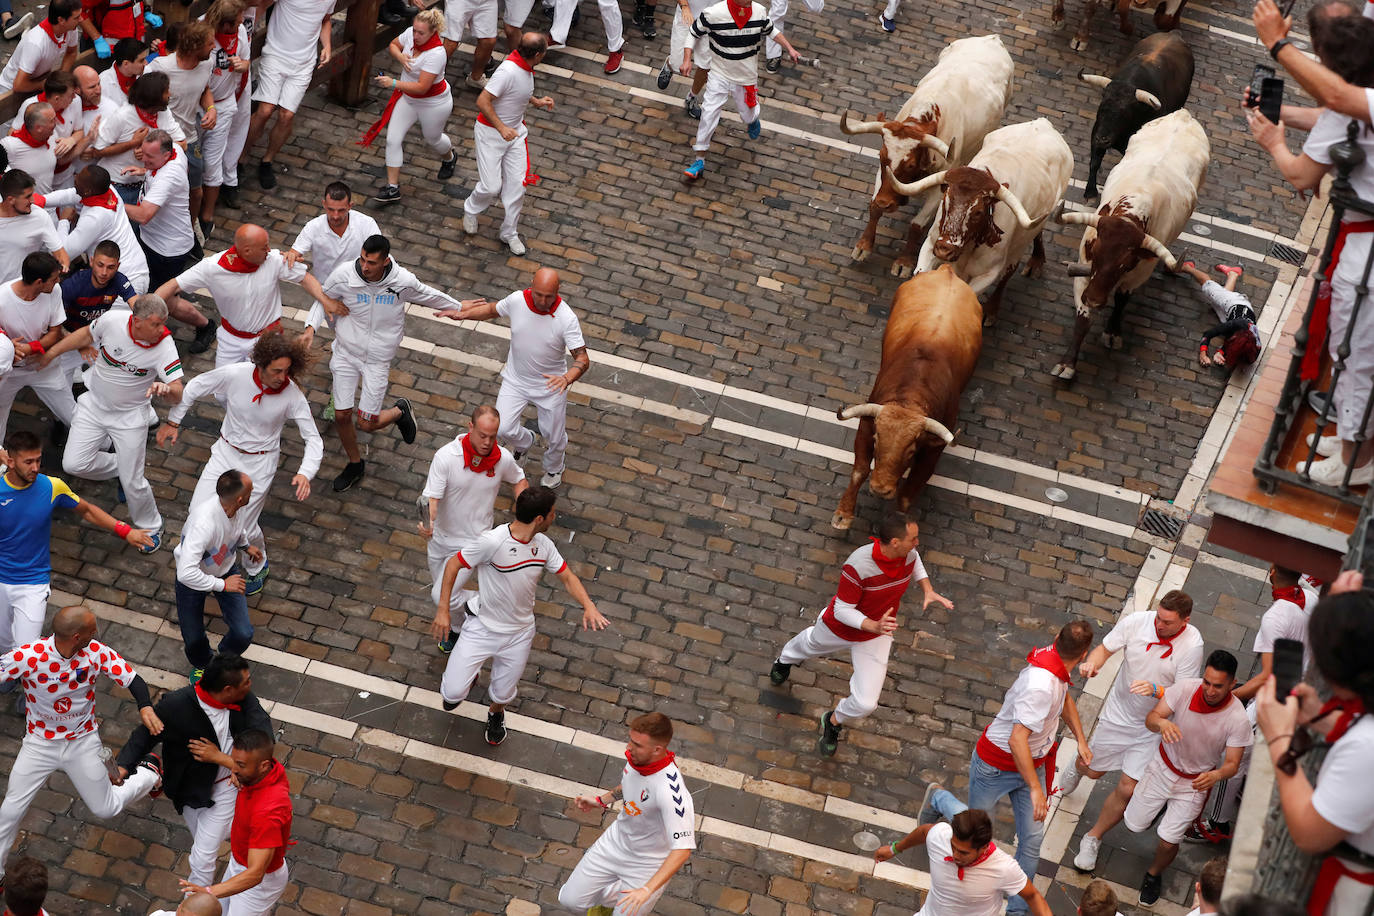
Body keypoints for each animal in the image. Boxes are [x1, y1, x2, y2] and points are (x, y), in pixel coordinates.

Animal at [829, 265, 983, 530]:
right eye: (878, 440)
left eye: (911, 452)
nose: (880, 490)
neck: (910, 398)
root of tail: (947, 271)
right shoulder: (866, 426)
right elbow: (860, 470)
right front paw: (843, 514)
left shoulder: (932, 452)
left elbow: (909, 492)